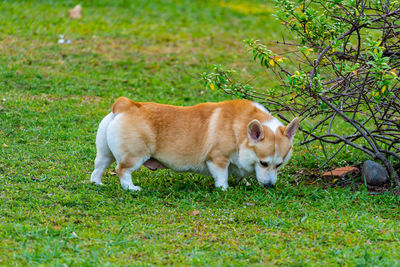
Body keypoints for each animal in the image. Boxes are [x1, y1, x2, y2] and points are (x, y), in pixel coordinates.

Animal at [90, 97, 296, 192]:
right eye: (263, 163)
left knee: (98, 167)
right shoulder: (218, 159)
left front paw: (243, 182)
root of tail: (124, 105)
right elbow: (222, 176)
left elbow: (239, 174)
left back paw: (97, 183)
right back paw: (131, 188)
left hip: (104, 153)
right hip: (135, 156)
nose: (269, 186)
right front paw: (224, 189)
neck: (241, 130)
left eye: (279, 164)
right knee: (122, 170)